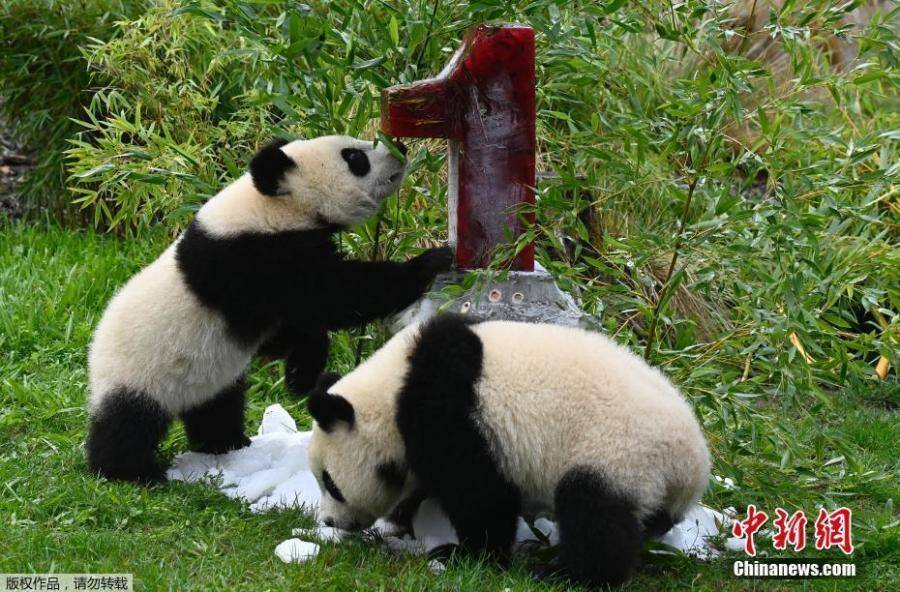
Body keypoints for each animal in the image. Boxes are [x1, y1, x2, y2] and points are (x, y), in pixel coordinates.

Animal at [86, 136, 450, 484]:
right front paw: (429, 262)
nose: (399, 149)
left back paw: (224, 442)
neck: (269, 207)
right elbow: (331, 296)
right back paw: (130, 472)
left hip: (211, 377)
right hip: (139, 372)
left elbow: (294, 326)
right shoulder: (249, 260)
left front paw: (301, 373)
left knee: (217, 407)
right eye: (354, 157)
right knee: (128, 425)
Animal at [308, 314, 712, 588]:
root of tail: (693, 466)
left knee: (593, 511)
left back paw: (567, 573)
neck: (393, 390)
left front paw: (467, 555)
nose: (328, 522)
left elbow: (477, 492)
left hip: (619, 451)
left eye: (331, 484)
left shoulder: (448, 411)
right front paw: (407, 522)